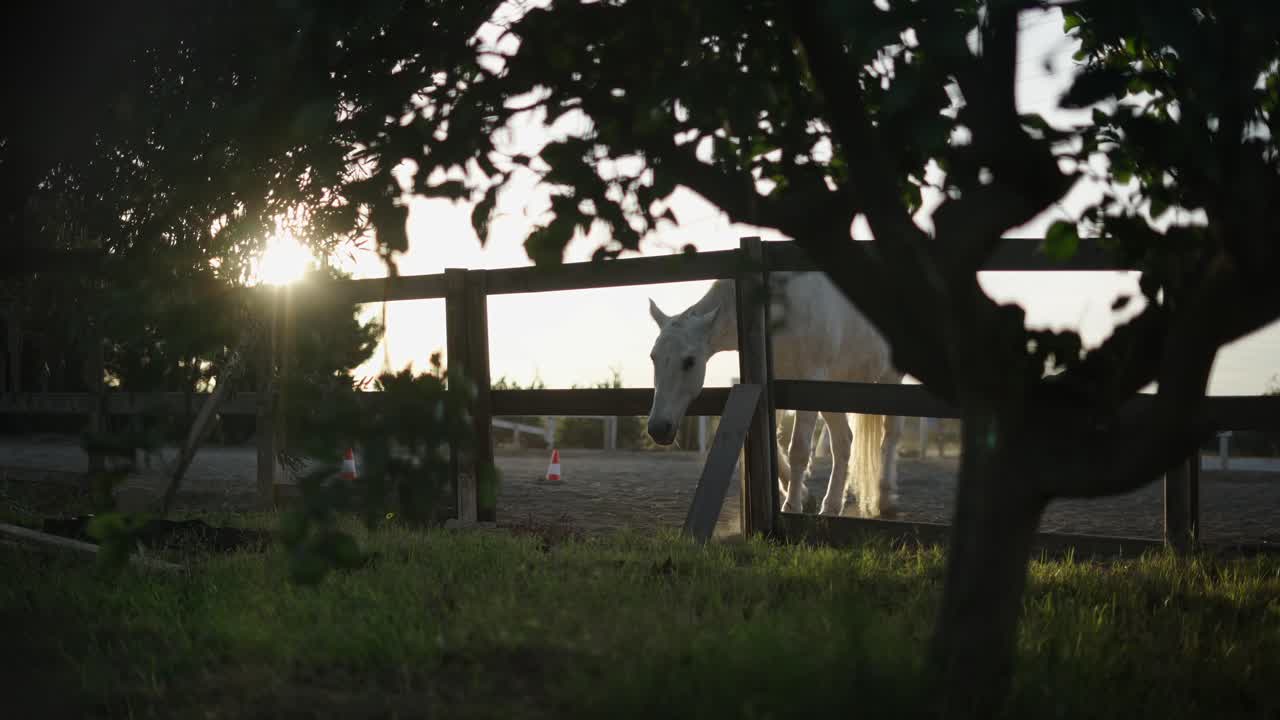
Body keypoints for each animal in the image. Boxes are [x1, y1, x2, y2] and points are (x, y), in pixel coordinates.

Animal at [645, 272, 905, 518]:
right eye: (653, 357)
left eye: (689, 361)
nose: (658, 428)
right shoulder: (773, 385)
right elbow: (775, 449)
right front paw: (805, 497)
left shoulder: (808, 380)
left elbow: (798, 449)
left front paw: (792, 506)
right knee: (844, 441)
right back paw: (831, 505)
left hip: (890, 378)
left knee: (889, 436)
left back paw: (885, 501)